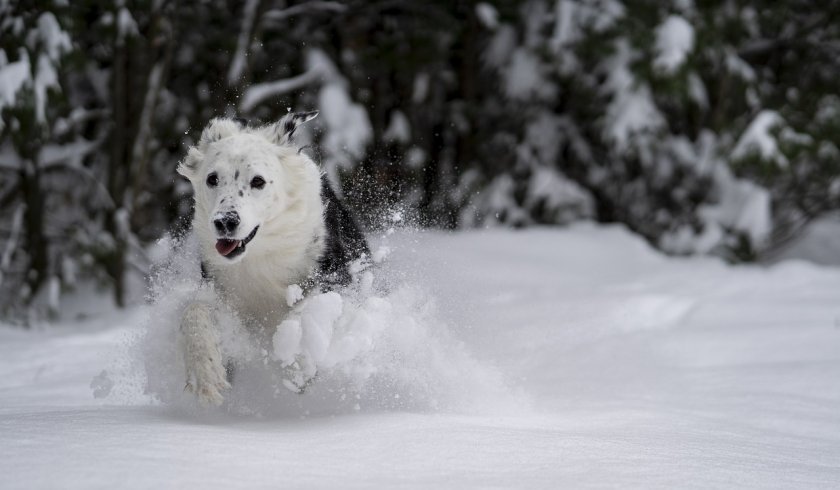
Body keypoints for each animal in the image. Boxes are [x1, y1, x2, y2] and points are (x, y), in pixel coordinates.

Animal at [175, 112, 368, 406]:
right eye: (212, 179)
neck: (261, 252)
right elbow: (194, 311)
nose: (225, 222)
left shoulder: (337, 278)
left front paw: (297, 362)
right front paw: (205, 373)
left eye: (258, 181)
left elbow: (305, 310)